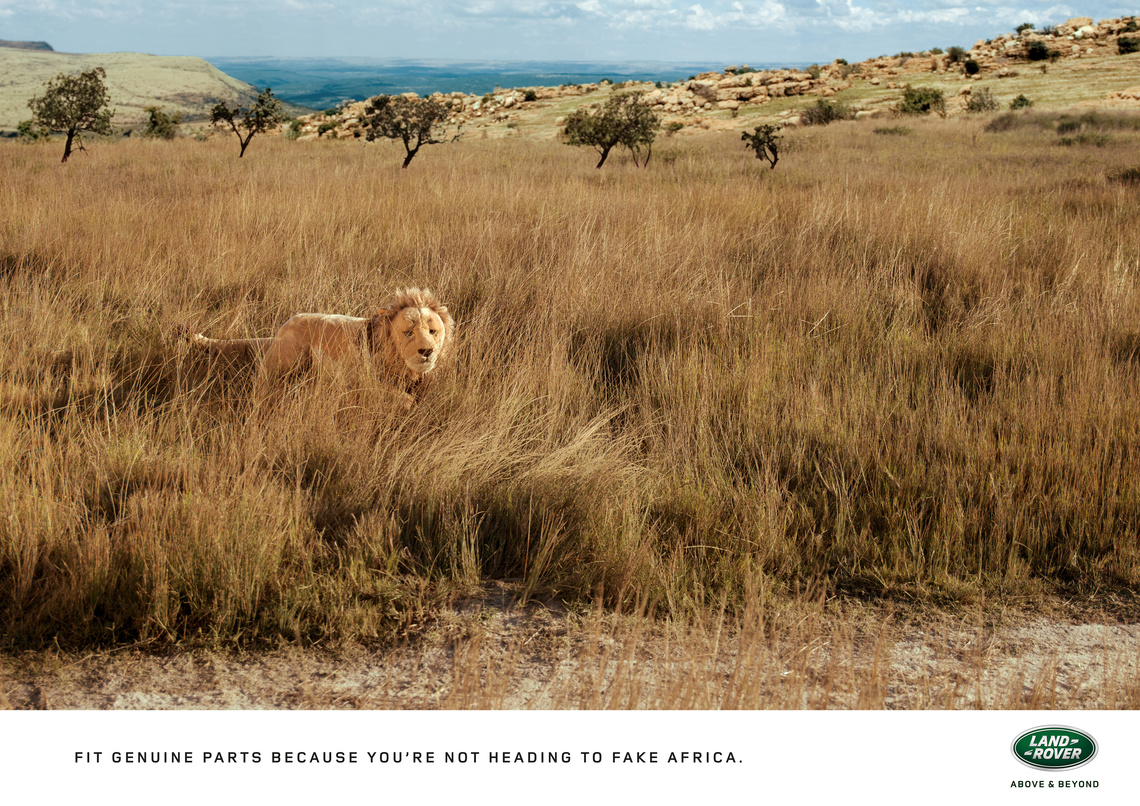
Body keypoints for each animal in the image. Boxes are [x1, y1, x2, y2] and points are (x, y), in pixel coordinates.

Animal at [183, 287, 453, 396]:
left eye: (433, 331)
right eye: (408, 332)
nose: (426, 351)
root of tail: (281, 329)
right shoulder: (361, 386)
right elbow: (402, 400)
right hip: (285, 361)